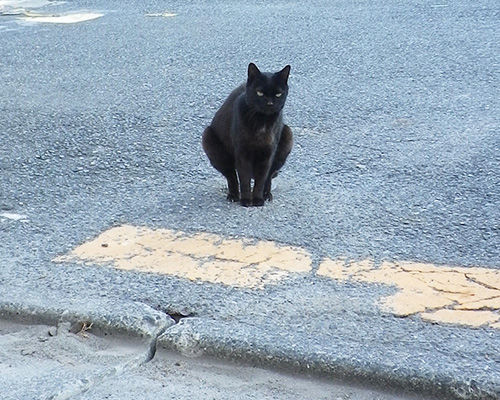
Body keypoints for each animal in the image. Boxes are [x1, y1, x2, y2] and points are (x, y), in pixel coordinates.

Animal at [201, 63, 292, 206]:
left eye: (278, 94)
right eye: (260, 93)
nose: (270, 104)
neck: (262, 122)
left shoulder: (267, 153)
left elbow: (261, 179)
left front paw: (258, 199)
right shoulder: (243, 152)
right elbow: (244, 179)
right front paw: (246, 201)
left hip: (287, 136)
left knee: (269, 177)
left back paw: (267, 195)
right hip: (209, 140)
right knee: (231, 176)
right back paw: (234, 196)